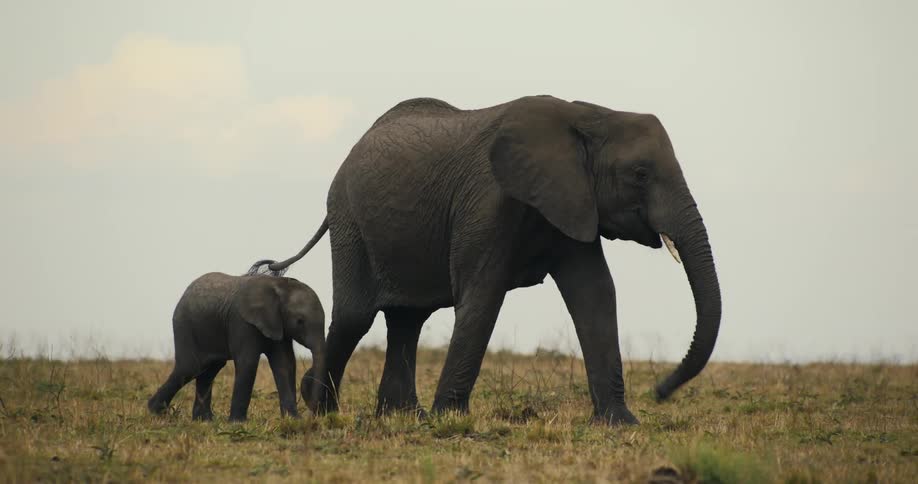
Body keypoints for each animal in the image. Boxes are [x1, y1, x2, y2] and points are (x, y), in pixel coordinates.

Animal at [147, 273, 326, 421]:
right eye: (300, 321)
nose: (313, 414)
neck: (278, 284)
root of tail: (184, 294)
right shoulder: (241, 322)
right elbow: (248, 363)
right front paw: (237, 423)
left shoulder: (278, 324)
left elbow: (285, 364)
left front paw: (293, 420)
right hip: (185, 325)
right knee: (190, 367)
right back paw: (155, 412)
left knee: (209, 370)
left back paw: (204, 421)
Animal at [256, 94, 722, 425]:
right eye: (640, 174)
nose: (660, 390)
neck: (588, 115)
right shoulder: (487, 202)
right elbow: (481, 297)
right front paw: (451, 421)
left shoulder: (573, 203)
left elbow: (595, 295)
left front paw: (621, 423)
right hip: (350, 218)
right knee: (356, 315)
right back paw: (321, 407)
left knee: (407, 318)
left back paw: (403, 416)